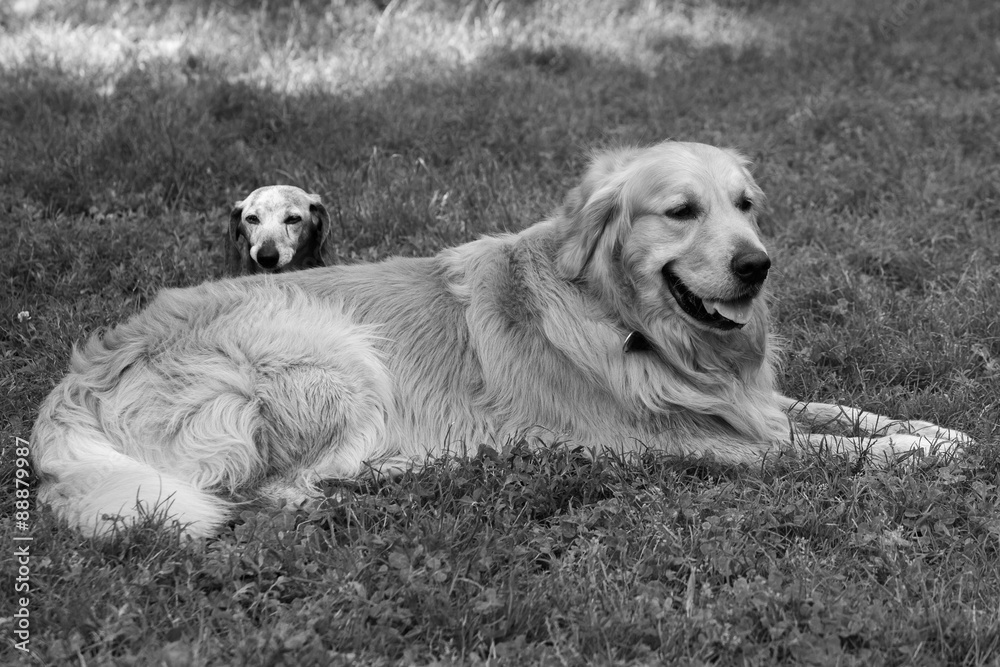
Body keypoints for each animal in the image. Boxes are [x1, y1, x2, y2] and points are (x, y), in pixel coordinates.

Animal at [31, 141, 971, 538]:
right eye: (681, 211)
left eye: (747, 205)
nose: (758, 266)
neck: (627, 324)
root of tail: (74, 380)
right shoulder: (696, 442)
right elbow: (826, 447)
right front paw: (919, 454)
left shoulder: (753, 403)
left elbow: (845, 412)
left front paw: (934, 430)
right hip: (332, 349)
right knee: (277, 491)